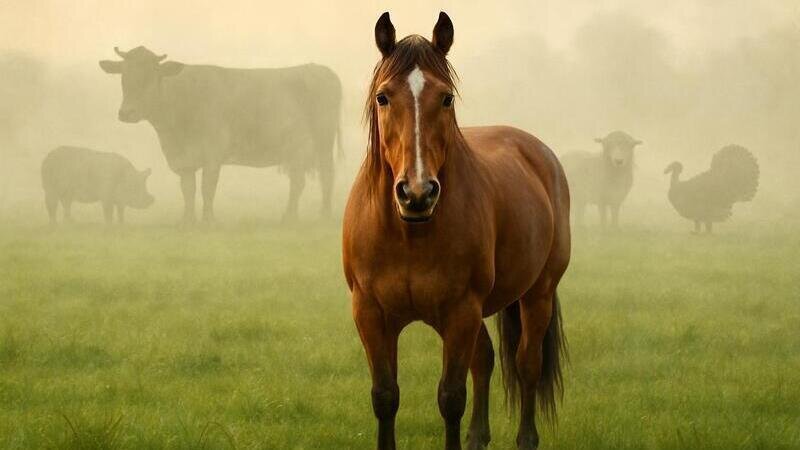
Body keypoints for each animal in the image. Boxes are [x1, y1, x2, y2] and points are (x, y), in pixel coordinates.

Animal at [99, 46, 342, 224]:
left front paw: (208, 221)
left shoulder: (212, 156)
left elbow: (207, 189)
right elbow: (188, 190)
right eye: (124, 78)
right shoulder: (184, 160)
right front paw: (187, 221)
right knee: (301, 180)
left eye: (151, 77)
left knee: (323, 177)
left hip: (321, 143)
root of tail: (318, 68)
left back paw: (312, 216)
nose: (127, 113)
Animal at [342, 12, 571, 450]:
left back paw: (525, 438)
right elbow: (385, 396)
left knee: (527, 365)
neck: (410, 233)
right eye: (383, 97)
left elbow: (450, 397)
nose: (417, 193)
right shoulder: (371, 312)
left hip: (537, 293)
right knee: (484, 359)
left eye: (446, 98)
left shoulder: (460, 311)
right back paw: (478, 437)